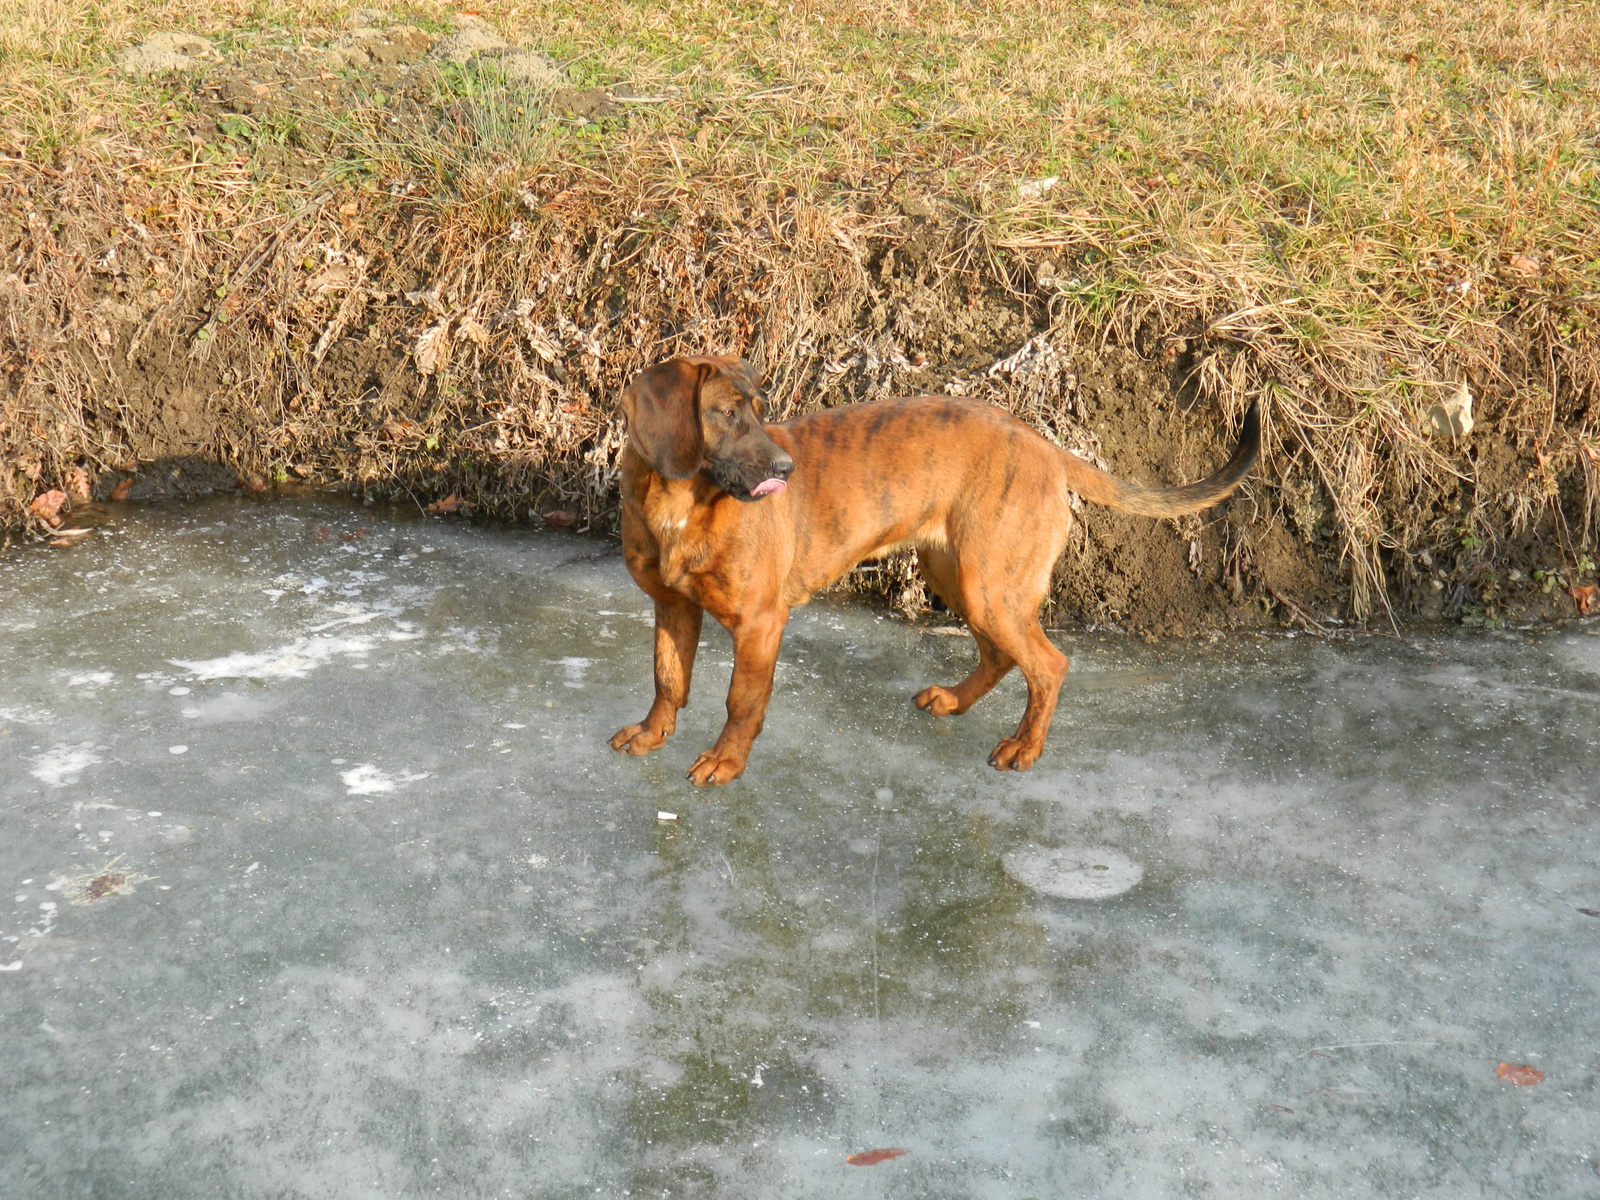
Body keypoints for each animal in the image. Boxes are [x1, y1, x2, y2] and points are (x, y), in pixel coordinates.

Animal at [611, 352, 1260, 784]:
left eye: (759, 413)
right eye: (725, 413)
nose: (785, 469)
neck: (680, 505)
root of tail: (1046, 447)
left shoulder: (760, 624)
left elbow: (741, 701)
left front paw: (725, 760)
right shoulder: (671, 606)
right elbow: (668, 680)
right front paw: (652, 734)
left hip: (990, 585)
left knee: (1048, 665)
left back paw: (1024, 747)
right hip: (959, 576)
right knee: (1001, 656)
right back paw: (955, 700)